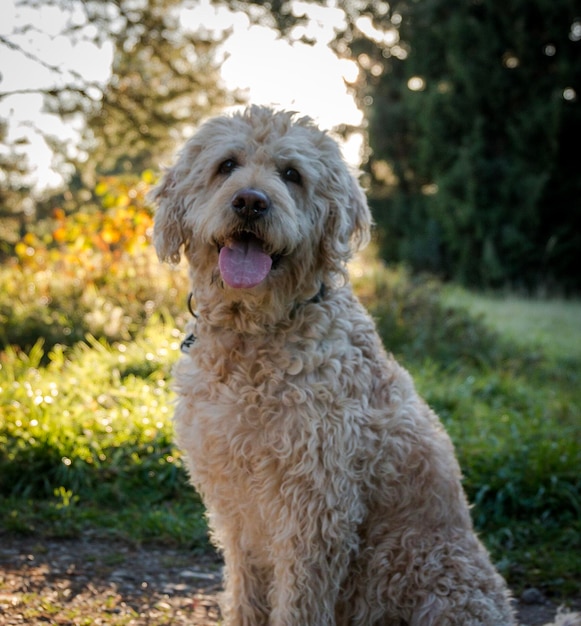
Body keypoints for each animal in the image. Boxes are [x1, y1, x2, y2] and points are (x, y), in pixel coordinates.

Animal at [152, 107, 516, 624]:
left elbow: (298, 605)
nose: (250, 202)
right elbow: (246, 594)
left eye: (292, 174)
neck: (253, 336)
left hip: (437, 576)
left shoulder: (315, 510)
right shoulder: (236, 511)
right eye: (227, 165)